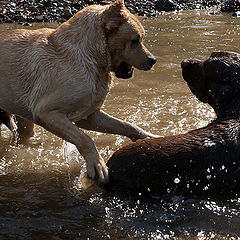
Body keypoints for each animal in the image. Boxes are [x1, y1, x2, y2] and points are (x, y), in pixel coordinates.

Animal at [0, 0, 156, 183]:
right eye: (136, 40)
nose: (153, 60)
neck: (91, 58)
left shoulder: (89, 116)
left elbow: (125, 124)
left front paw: (149, 137)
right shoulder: (47, 113)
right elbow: (84, 138)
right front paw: (97, 164)